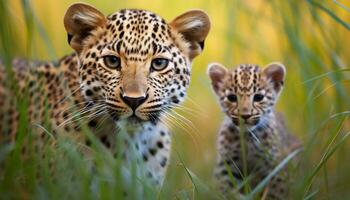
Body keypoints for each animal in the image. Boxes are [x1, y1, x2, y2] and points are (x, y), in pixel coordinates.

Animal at [208, 61, 300, 199]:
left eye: (258, 97)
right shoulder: (226, 166)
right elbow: (226, 191)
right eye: (231, 97)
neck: (248, 137)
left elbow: (275, 193)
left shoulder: (275, 166)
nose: (245, 115)